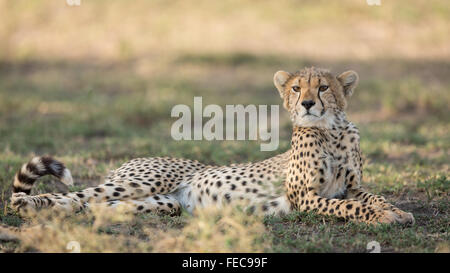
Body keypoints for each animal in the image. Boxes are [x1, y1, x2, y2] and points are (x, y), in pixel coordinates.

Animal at [4, 66, 414, 225]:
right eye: (297, 88)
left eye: (324, 87)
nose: (309, 103)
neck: (331, 131)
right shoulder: (306, 197)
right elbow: (348, 206)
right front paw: (384, 216)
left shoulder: (353, 185)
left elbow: (370, 197)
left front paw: (397, 212)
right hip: (137, 182)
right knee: (62, 197)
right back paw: (28, 206)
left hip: (160, 203)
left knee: (91, 207)